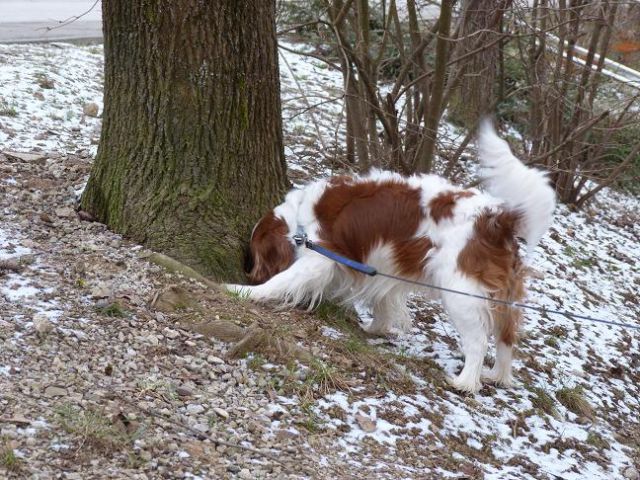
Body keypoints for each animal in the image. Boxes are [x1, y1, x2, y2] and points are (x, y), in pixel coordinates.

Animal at [226, 121, 556, 394]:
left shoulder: (321, 256)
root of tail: (496, 218)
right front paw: (375, 328)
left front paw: (242, 291)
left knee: (478, 341)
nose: (248, 271)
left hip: (461, 292)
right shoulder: (382, 267)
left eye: (254, 257)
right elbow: (382, 302)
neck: (298, 221)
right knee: (507, 337)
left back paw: (465, 382)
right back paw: (497, 376)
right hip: (503, 296)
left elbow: (281, 281)